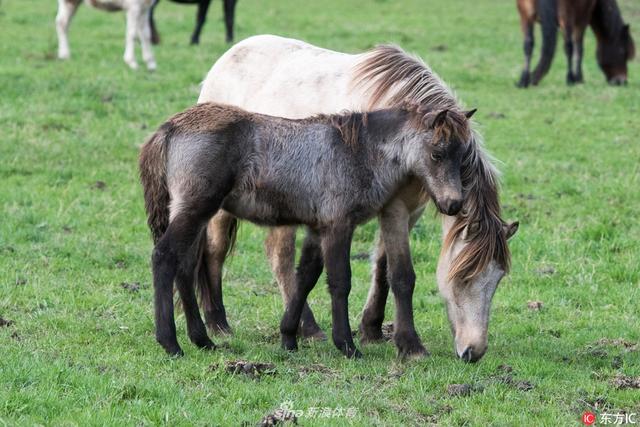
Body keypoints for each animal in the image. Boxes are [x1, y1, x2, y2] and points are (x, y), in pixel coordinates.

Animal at [141, 101, 470, 358]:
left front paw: (288, 338)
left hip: (194, 215)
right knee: (164, 257)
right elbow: (339, 281)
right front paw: (347, 346)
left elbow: (305, 278)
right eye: (437, 154)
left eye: (463, 156)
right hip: (196, 209)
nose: (454, 204)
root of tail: (169, 127)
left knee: (185, 268)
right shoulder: (338, 225)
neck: (357, 151)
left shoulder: (316, 228)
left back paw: (203, 340)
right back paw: (171, 343)